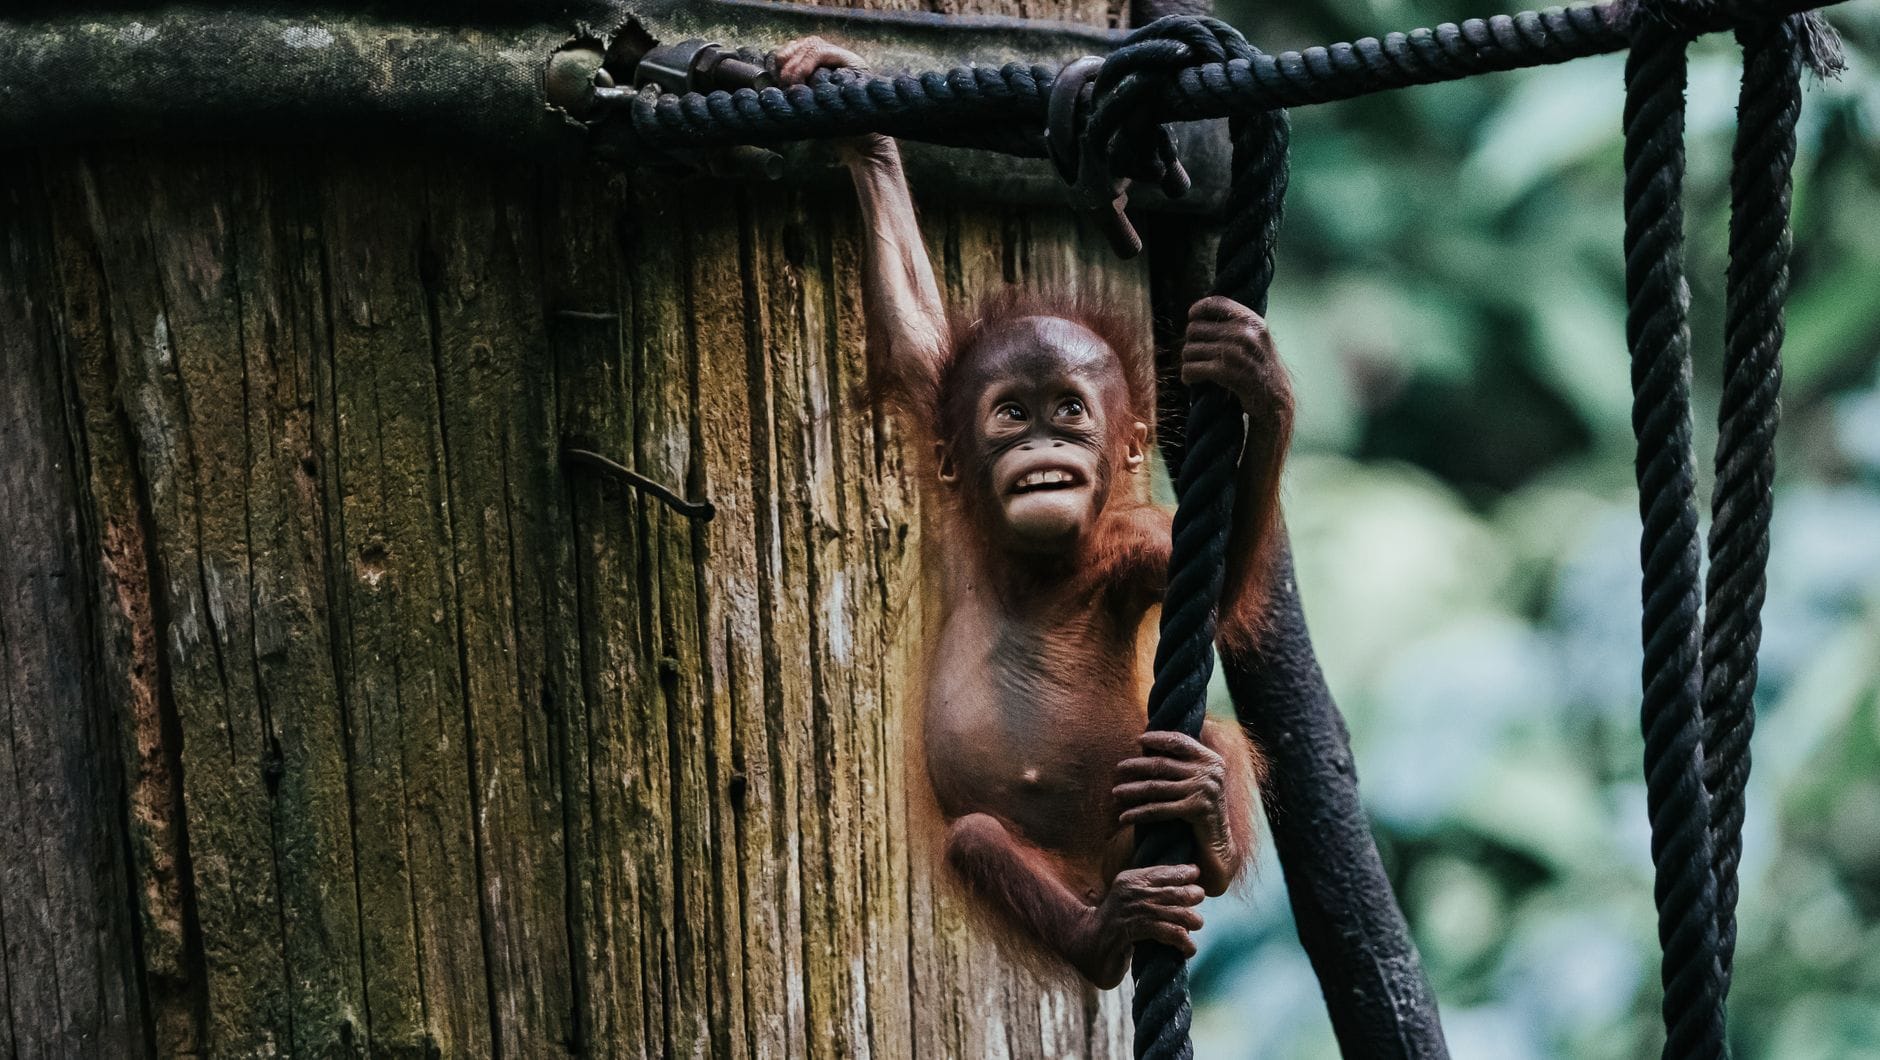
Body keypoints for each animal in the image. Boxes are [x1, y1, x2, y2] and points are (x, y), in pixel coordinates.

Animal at [776, 38, 1294, 988]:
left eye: (1073, 412)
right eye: (1013, 412)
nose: (1045, 448)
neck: (1044, 561)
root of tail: (1093, 876)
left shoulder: (1136, 544)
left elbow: (1228, 580)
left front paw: (1257, 377)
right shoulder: (948, 458)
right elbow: (913, 328)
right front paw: (862, 132)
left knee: (1211, 740)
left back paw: (1203, 817)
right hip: (1054, 871)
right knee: (982, 840)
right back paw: (1105, 937)